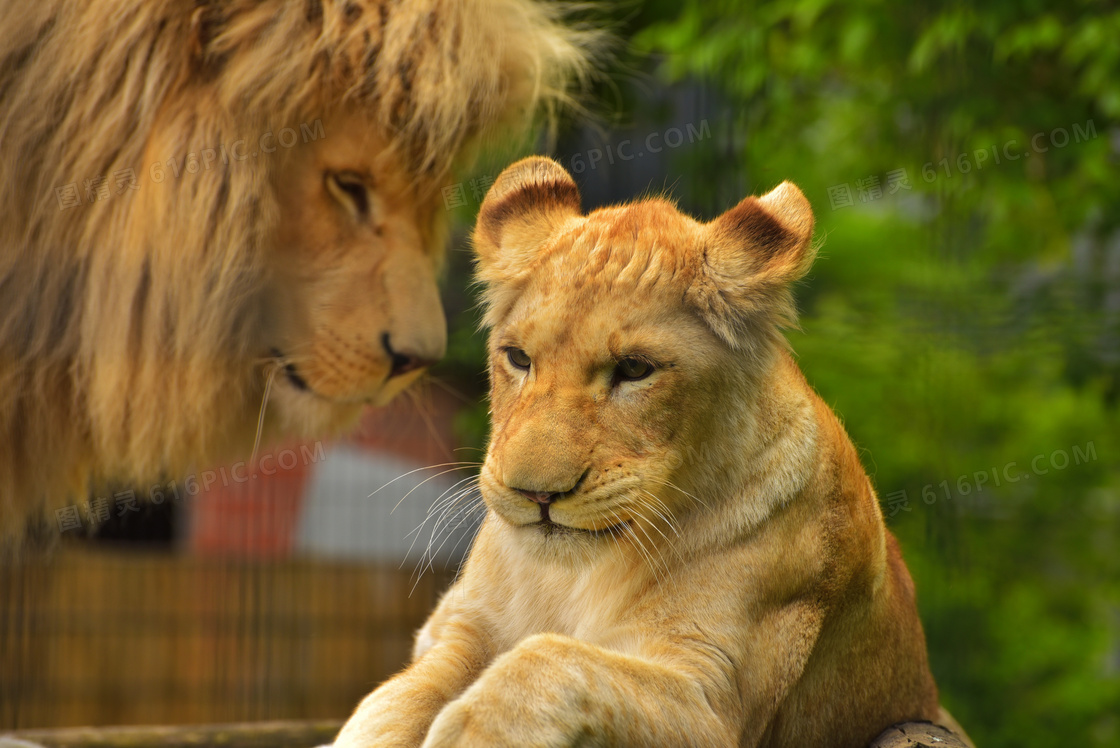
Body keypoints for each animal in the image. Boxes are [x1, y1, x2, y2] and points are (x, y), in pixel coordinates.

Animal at [333, 159, 972, 748]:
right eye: (517, 358)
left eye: (635, 370)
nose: (536, 493)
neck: (573, 577)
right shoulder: (459, 626)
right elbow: (395, 698)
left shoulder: (715, 697)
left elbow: (551, 659)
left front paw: (474, 732)